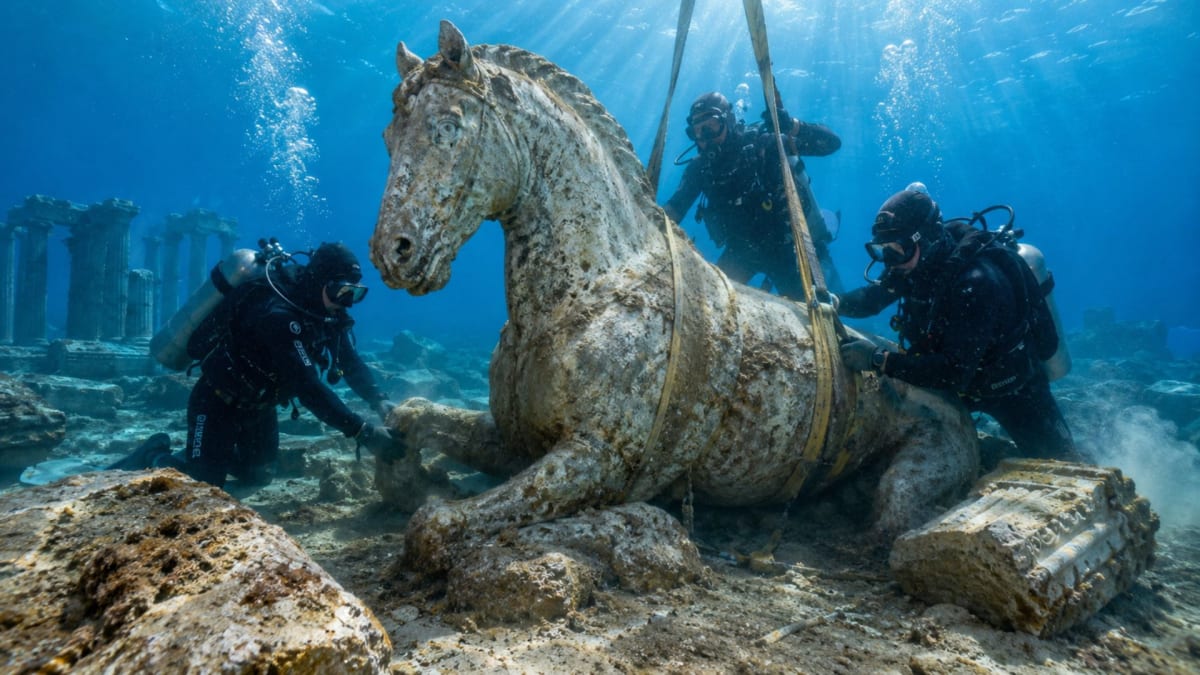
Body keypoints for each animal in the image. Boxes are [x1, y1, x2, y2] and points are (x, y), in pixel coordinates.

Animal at [370, 21, 978, 572]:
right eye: (387, 138)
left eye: (450, 126)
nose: (393, 253)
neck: (591, 285)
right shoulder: (516, 440)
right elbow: (414, 414)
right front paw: (404, 464)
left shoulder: (598, 459)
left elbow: (433, 526)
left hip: (917, 469)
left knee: (892, 523)